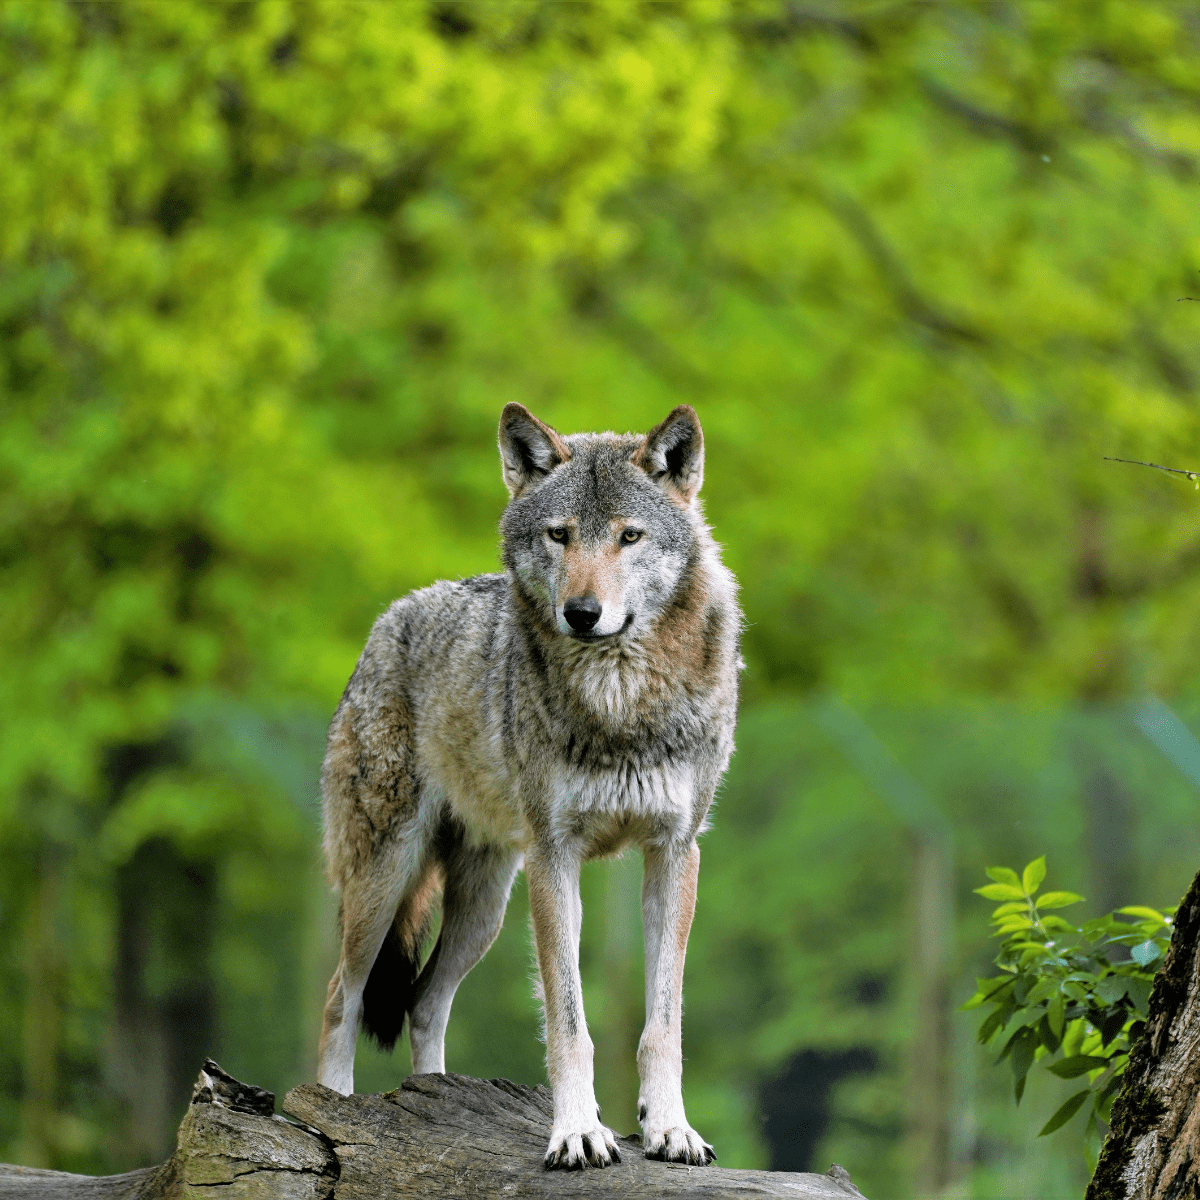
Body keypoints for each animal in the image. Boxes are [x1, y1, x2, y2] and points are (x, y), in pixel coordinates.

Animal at [316, 403, 741, 1169]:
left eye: (629, 537)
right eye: (559, 535)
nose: (582, 612)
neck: (620, 702)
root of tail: (389, 619)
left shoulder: (675, 852)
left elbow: (662, 1024)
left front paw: (669, 1128)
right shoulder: (555, 858)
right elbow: (570, 1023)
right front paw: (577, 1131)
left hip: (484, 908)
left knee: (425, 1003)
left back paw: (433, 1103)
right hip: (385, 878)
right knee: (344, 997)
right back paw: (332, 1111)